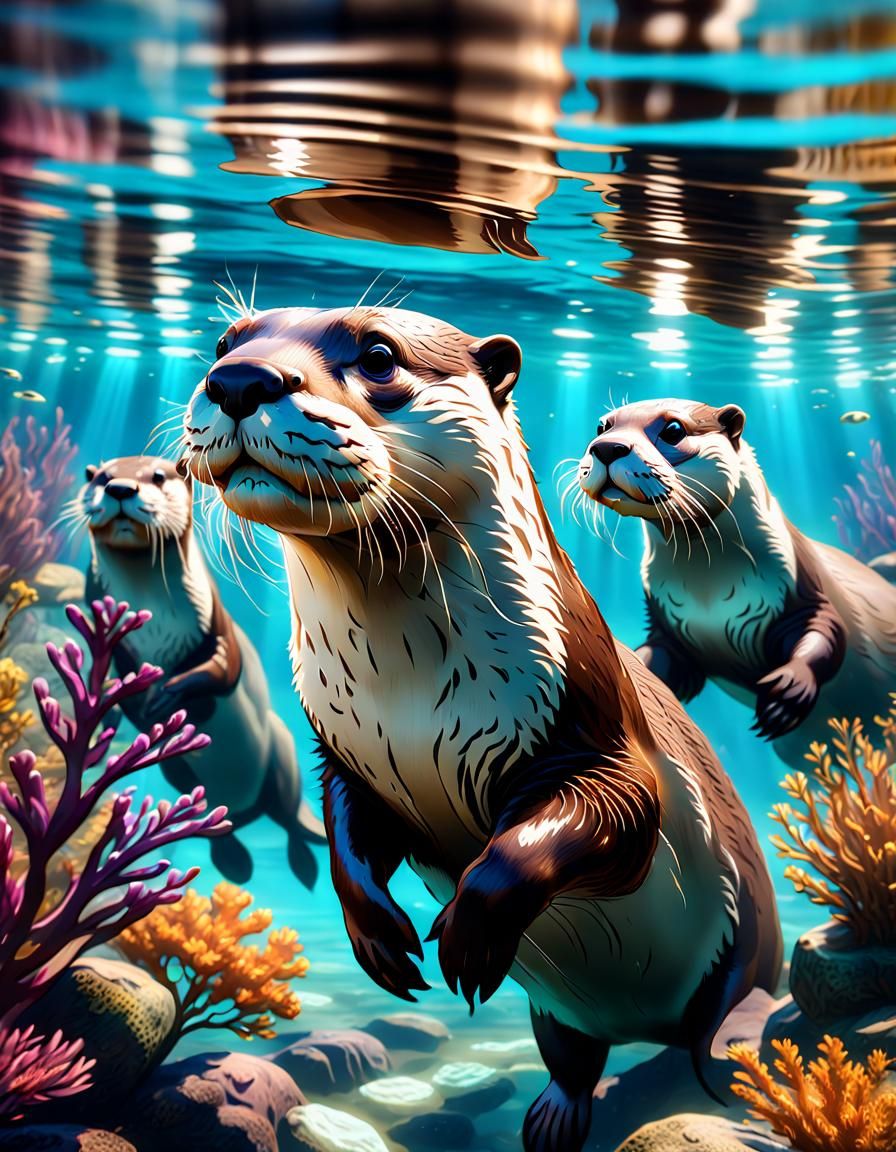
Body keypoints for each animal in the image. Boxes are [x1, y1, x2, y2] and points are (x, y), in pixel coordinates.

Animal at [81, 455, 325, 887]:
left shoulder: (217, 626)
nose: (121, 488)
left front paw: (169, 695)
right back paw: (236, 862)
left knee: (290, 820)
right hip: (180, 774)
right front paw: (117, 707)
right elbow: (110, 676)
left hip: (281, 751)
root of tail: (246, 813)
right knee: (223, 824)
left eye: (158, 476)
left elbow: (223, 672)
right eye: (102, 478)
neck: (154, 620)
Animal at [180, 307, 781, 1152]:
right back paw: (555, 1116)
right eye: (225, 343)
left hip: (746, 949)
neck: (406, 702)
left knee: (721, 1016)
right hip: (560, 1014)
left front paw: (465, 930)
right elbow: (346, 833)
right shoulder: (345, 754)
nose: (237, 380)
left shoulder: (596, 727)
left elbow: (591, 821)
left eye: (377, 355)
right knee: (572, 1054)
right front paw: (379, 934)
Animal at [577, 399, 896, 766]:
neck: (710, 593)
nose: (606, 447)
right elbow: (661, 659)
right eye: (602, 427)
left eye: (673, 430)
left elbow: (825, 635)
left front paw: (786, 691)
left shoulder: (804, 591)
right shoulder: (666, 623)